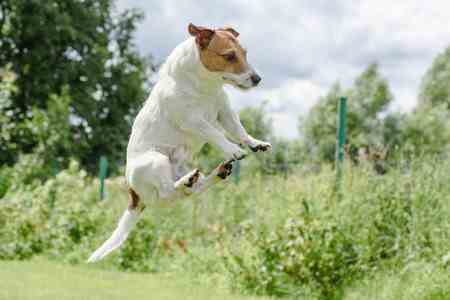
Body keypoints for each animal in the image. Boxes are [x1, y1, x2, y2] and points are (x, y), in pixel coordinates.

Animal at [88, 23, 270, 262]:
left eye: (244, 53)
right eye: (229, 56)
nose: (257, 79)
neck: (205, 86)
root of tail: (133, 194)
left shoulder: (224, 112)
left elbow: (239, 130)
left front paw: (255, 143)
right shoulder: (193, 120)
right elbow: (215, 134)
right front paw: (232, 149)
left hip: (182, 165)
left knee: (191, 191)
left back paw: (210, 175)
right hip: (157, 160)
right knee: (168, 192)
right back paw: (187, 180)